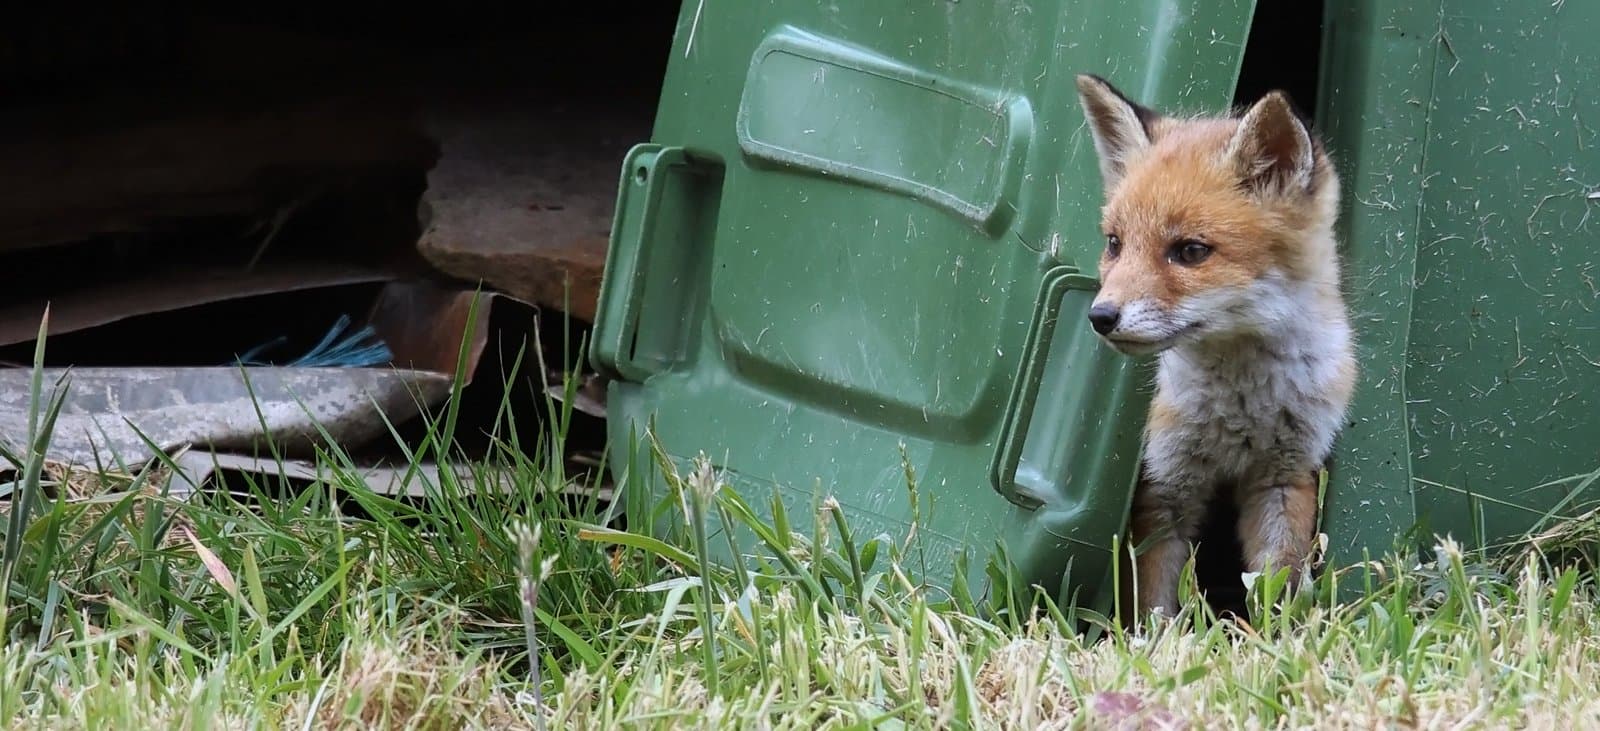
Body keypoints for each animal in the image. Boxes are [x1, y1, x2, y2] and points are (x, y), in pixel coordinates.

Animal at [1073, 74, 1357, 619]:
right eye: (1115, 244)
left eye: (1190, 251)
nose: (1100, 317)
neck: (1245, 406)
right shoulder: (1163, 486)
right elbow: (1155, 602)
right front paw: (1155, 640)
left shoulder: (1286, 477)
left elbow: (1279, 583)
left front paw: (1277, 638)